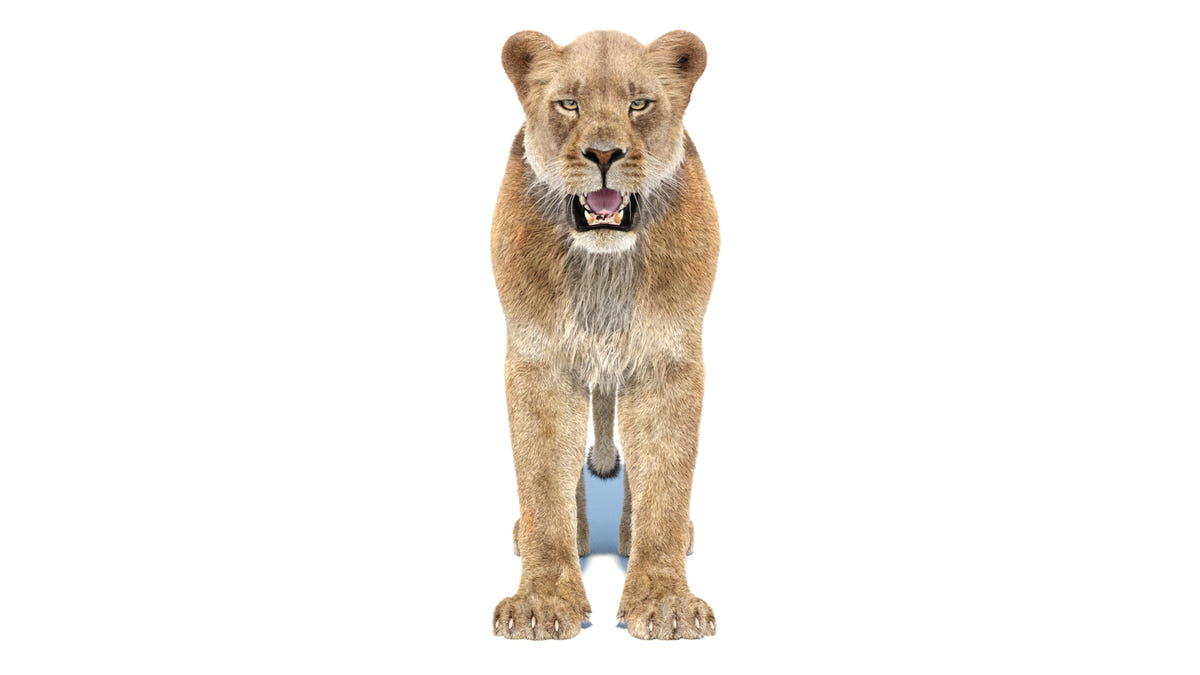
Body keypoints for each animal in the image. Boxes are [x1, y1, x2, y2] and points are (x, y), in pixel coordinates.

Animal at [490, 30, 720, 640]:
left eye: (639, 104)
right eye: (569, 104)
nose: (603, 155)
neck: (603, 266)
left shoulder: (666, 361)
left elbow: (664, 480)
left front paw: (665, 603)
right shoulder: (540, 361)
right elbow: (543, 478)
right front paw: (541, 603)